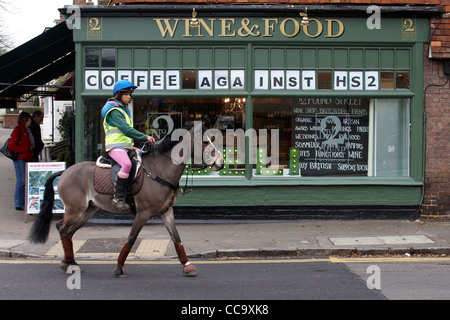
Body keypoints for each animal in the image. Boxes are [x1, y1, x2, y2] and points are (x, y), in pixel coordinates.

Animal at [28, 125, 225, 278]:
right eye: (205, 142)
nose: (221, 162)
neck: (159, 170)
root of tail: (65, 171)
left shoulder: (166, 212)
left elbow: (177, 239)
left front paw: (187, 265)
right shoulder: (143, 213)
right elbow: (131, 239)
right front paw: (119, 267)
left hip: (87, 212)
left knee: (68, 232)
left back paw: (71, 263)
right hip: (75, 210)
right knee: (62, 228)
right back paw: (68, 263)